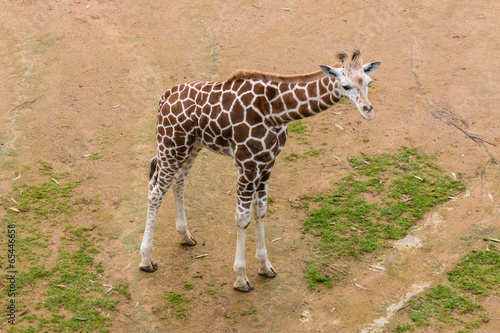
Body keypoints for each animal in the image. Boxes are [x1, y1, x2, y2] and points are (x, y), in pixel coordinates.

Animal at [139, 50, 380, 292]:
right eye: (345, 86)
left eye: (369, 82)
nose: (368, 111)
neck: (274, 111)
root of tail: (164, 97)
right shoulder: (247, 164)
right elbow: (242, 218)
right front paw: (241, 278)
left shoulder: (267, 163)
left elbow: (260, 211)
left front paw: (265, 267)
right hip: (171, 145)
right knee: (155, 191)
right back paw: (146, 260)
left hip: (191, 146)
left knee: (177, 181)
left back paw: (185, 236)